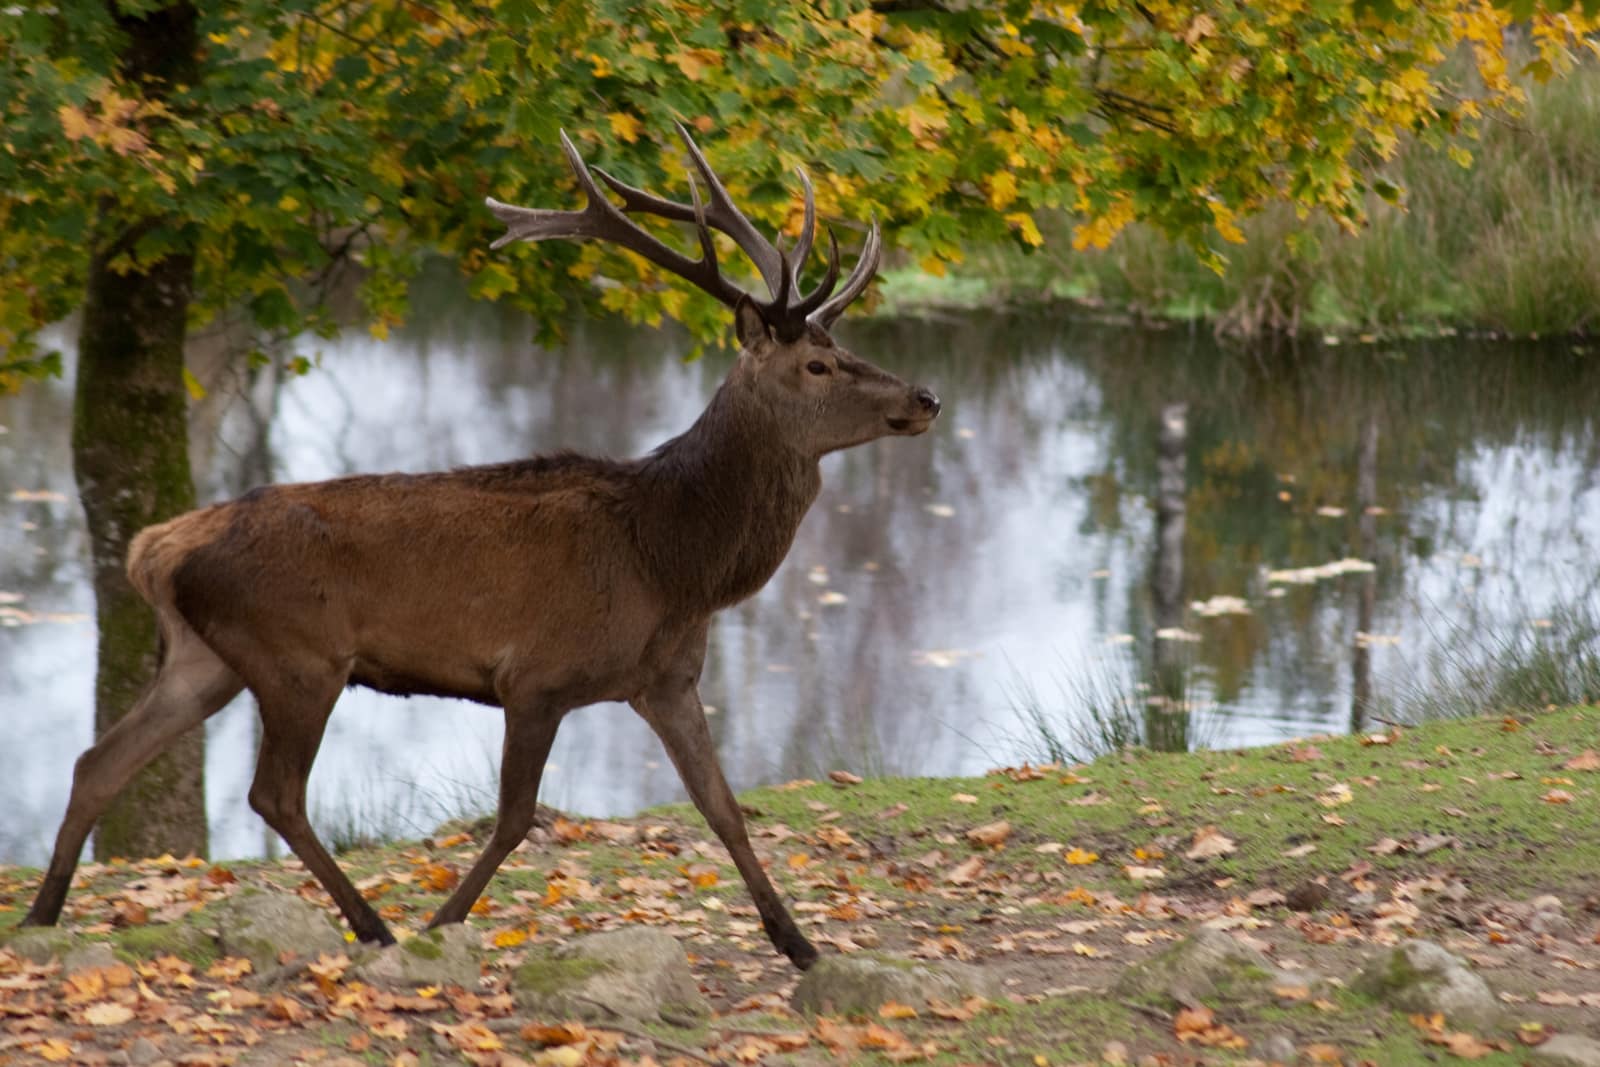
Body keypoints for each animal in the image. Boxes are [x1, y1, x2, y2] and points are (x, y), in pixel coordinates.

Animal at [22, 124, 940, 971]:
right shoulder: (536, 676)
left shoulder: (668, 679)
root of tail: (154, 548)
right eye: (818, 364)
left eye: (843, 349)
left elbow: (723, 807)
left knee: (98, 759)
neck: (675, 560)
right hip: (298, 657)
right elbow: (515, 817)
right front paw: (443, 921)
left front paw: (800, 943)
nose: (926, 395)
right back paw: (375, 923)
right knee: (273, 793)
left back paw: (42, 913)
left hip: (204, 657)